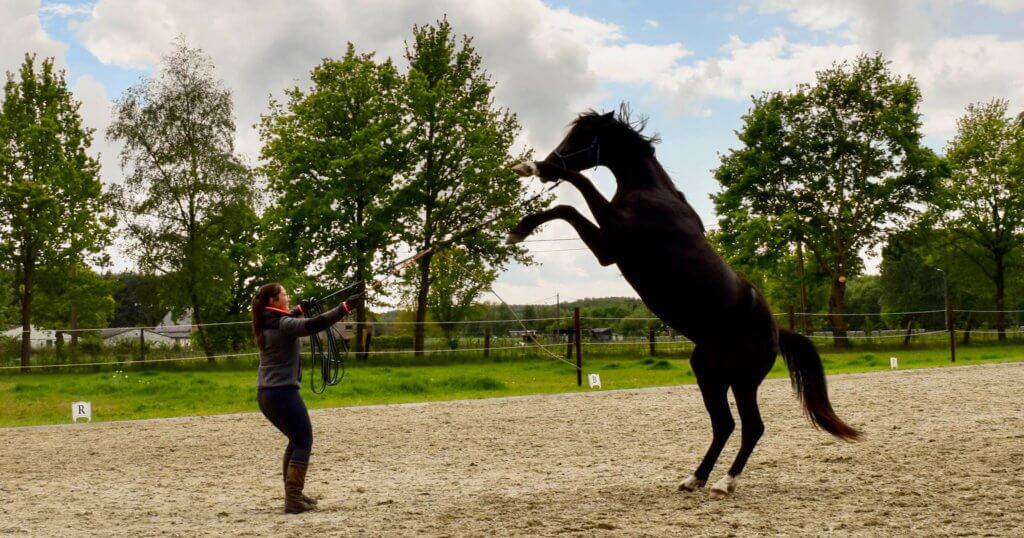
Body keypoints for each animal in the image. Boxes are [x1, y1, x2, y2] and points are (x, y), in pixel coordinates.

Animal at [507, 108, 860, 500]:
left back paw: (724, 483)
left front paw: (527, 180)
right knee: (725, 425)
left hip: (742, 380)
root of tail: (776, 332)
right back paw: (696, 478)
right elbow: (566, 206)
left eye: (582, 137)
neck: (649, 194)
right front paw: (520, 227)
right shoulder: (607, 246)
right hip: (710, 372)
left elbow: (575, 194)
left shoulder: (610, 244)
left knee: (751, 427)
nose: (549, 165)